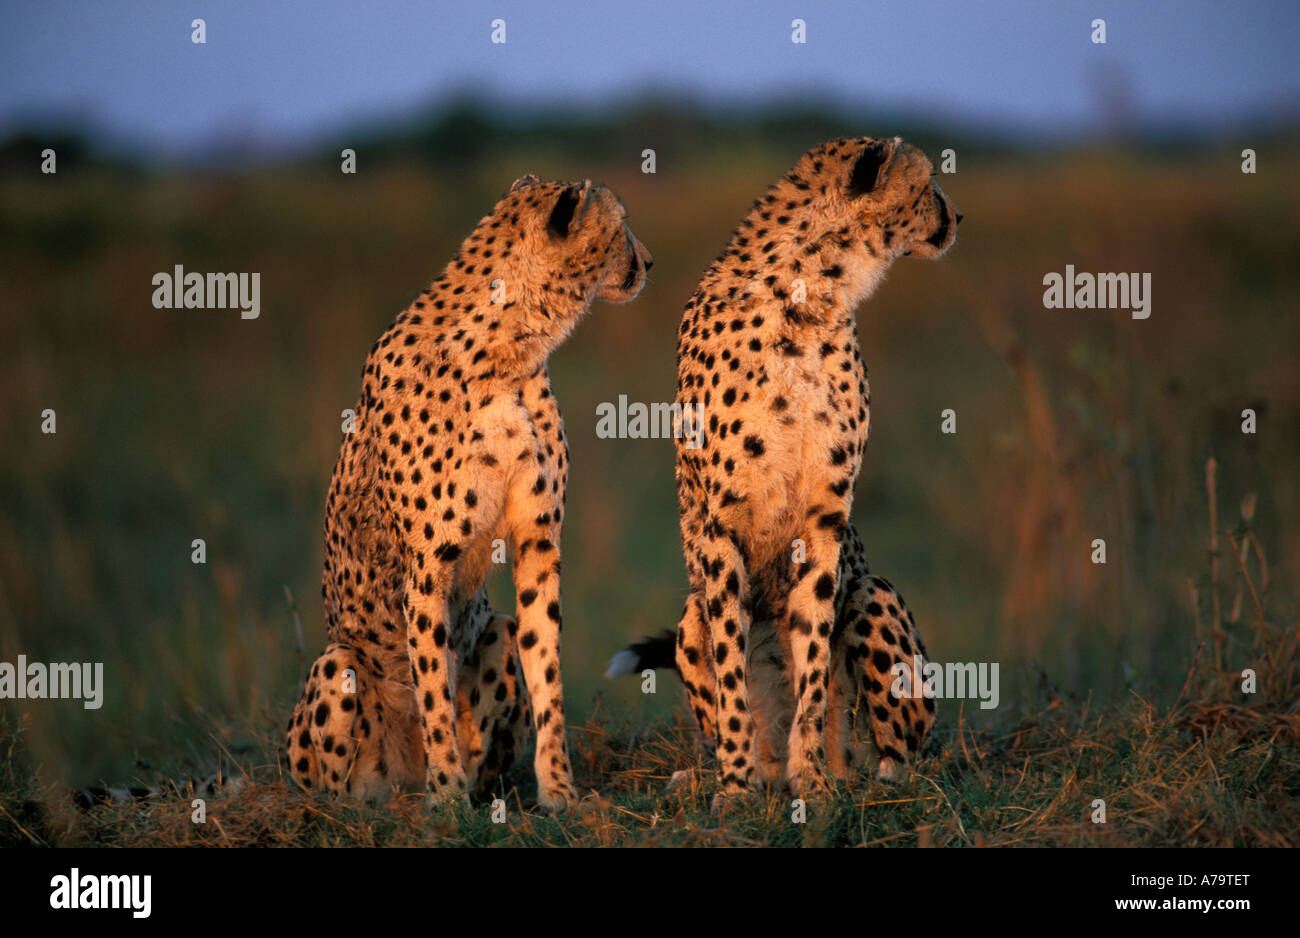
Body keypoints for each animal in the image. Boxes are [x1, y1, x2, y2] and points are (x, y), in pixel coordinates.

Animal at [284, 174, 650, 805]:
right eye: (620, 224)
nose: (648, 261)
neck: (509, 349)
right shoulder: (429, 563)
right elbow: (432, 684)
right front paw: (449, 796)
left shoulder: (537, 540)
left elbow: (546, 668)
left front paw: (558, 790)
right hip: (337, 663)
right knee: (344, 782)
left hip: (496, 630)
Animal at [665, 135, 961, 800]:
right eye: (927, 183)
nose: (958, 215)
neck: (809, 295)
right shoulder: (721, 525)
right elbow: (732, 671)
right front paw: (735, 787)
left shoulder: (825, 518)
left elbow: (813, 661)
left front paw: (815, 784)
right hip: (689, 618)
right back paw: (727, 775)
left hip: (873, 594)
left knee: (899, 749)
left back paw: (860, 776)